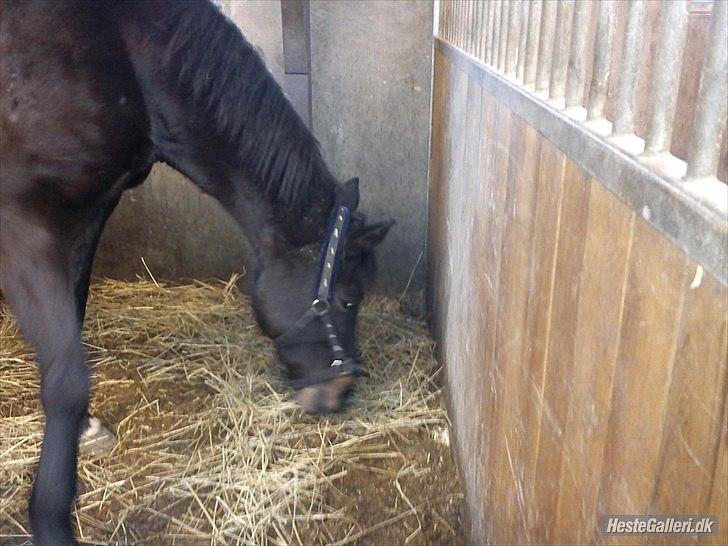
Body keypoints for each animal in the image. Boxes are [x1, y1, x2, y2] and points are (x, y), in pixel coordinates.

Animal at [0, 2, 392, 540]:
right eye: (349, 299)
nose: (341, 393)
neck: (116, 50)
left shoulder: (89, 210)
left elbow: (71, 326)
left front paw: (84, 429)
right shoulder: (25, 224)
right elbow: (66, 380)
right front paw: (50, 518)